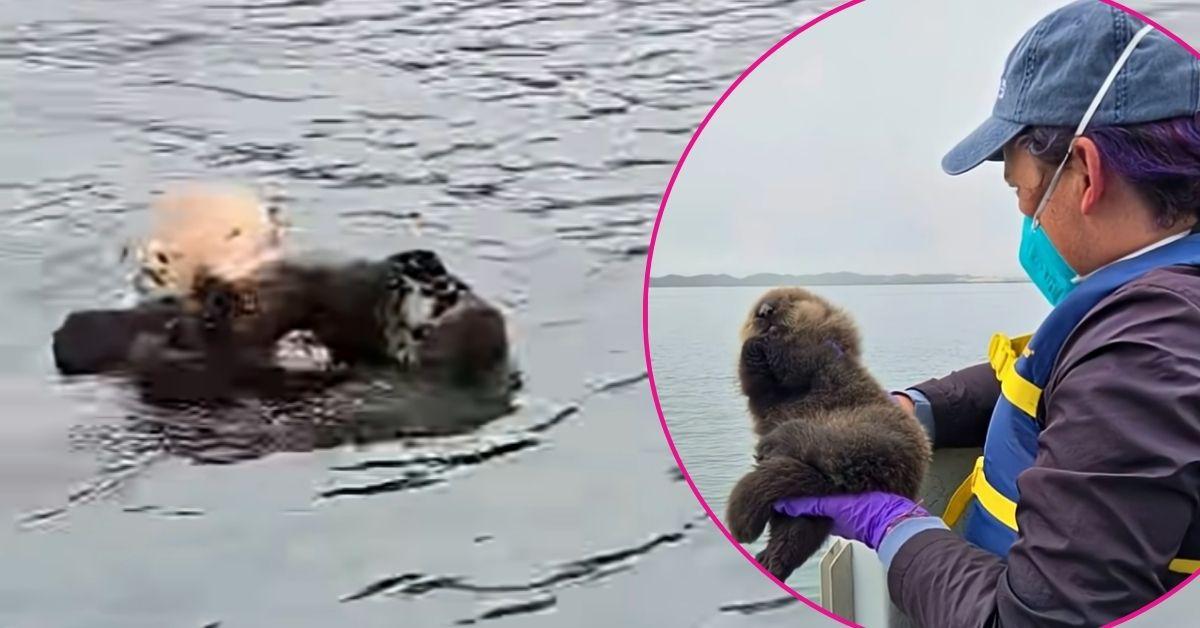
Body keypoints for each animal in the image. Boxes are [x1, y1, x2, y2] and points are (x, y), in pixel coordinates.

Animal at [724, 287, 931, 581]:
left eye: (790, 300)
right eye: (755, 311)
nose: (765, 311)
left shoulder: (821, 353)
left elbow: (794, 360)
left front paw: (768, 340)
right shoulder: (766, 398)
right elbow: (754, 384)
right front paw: (755, 341)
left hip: (868, 433)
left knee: (819, 444)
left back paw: (774, 444)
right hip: (805, 509)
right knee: (795, 533)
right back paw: (770, 561)